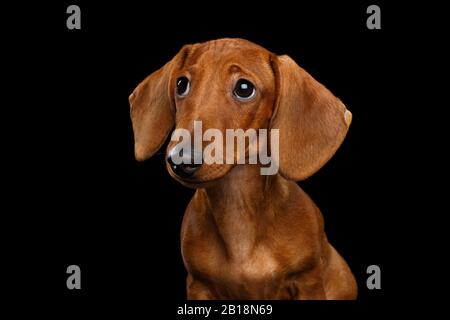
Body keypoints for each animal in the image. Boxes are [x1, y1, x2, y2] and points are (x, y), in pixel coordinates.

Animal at [128, 38, 356, 298]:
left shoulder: (308, 281)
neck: (237, 207)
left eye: (244, 88)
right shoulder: (199, 285)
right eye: (181, 84)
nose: (181, 159)